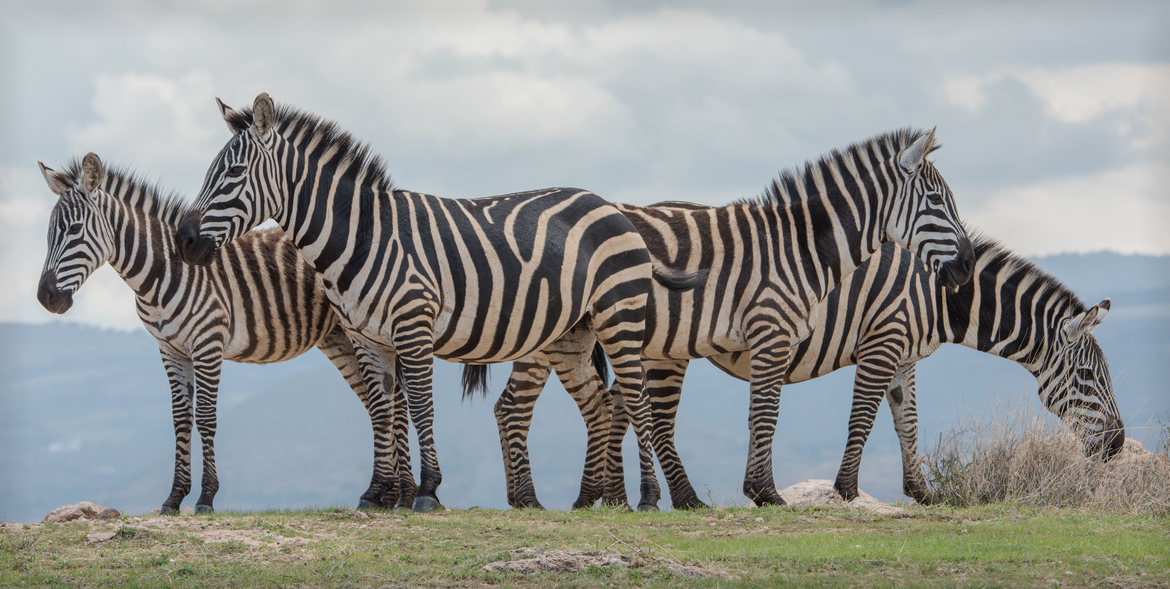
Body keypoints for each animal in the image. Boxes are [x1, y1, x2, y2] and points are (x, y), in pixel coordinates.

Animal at [36, 152, 415, 514]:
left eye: (74, 229)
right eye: (48, 234)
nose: (45, 298)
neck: (161, 272)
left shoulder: (208, 342)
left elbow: (205, 417)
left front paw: (205, 497)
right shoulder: (170, 349)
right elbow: (180, 420)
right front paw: (174, 498)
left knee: (395, 401)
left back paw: (405, 495)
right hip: (341, 339)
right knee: (382, 401)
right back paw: (389, 493)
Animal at [174, 92, 706, 512]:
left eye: (234, 172)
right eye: (208, 171)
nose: (184, 241)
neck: (364, 234)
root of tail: (610, 205)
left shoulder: (414, 322)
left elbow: (421, 407)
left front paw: (428, 492)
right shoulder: (367, 336)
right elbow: (383, 410)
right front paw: (376, 494)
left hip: (620, 314)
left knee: (635, 399)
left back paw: (647, 499)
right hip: (573, 332)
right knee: (600, 404)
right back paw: (593, 501)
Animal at [477, 129, 978, 509]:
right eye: (937, 201)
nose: (969, 265)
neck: (798, 249)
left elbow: (765, 414)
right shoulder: (771, 331)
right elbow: (765, 415)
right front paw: (765, 493)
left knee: (550, 406)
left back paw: (586, 499)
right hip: (548, 332)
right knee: (516, 407)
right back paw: (532, 500)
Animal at [494, 231, 1123, 510]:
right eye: (1091, 379)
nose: (1118, 446)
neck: (937, 293)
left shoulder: (904, 356)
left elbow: (908, 424)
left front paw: (924, 492)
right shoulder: (881, 341)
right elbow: (863, 419)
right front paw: (846, 491)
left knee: (611, 409)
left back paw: (602, 496)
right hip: (586, 341)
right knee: (522, 408)